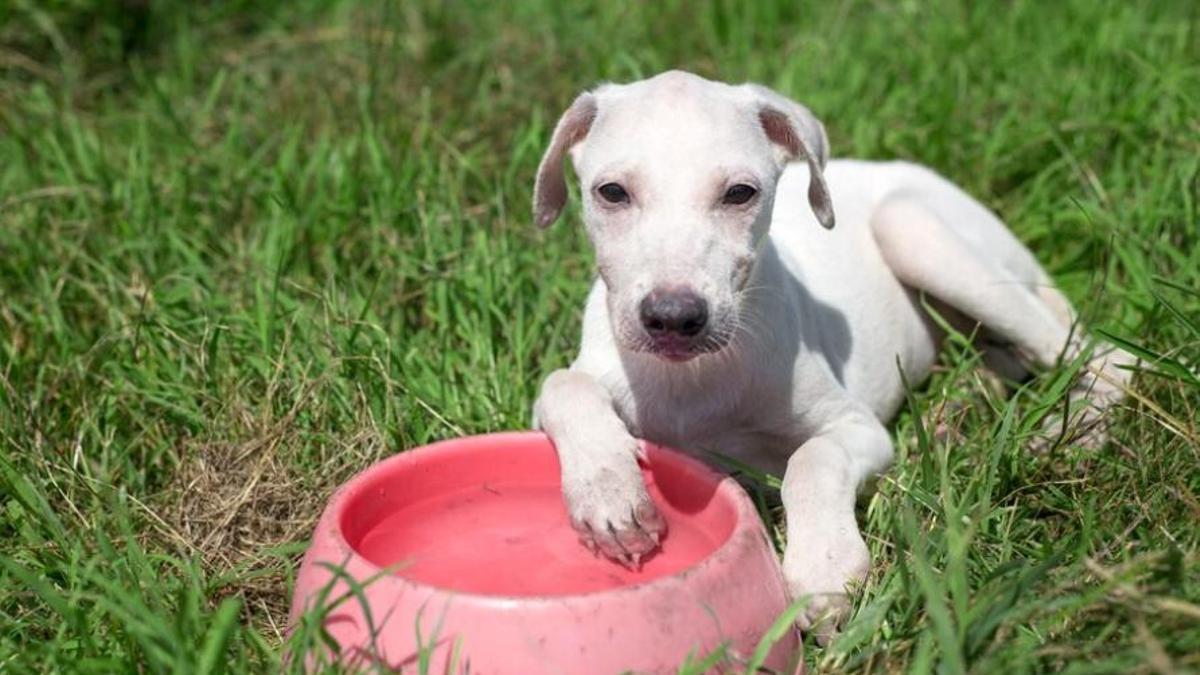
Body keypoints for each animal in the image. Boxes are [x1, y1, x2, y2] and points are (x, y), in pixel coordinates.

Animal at [530, 70, 1128, 638]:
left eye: (740, 193)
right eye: (611, 192)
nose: (674, 319)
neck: (694, 379)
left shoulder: (860, 429)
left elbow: (811, 460)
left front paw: (824, 569)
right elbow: (562, 385)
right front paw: (608, 494)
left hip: (914, 229)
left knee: (1102, 356)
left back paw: (1072, 434)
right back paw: (962, 404)